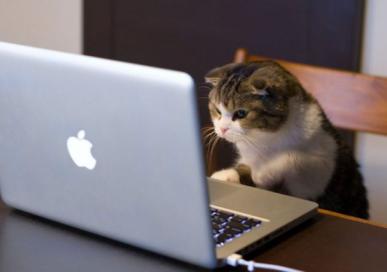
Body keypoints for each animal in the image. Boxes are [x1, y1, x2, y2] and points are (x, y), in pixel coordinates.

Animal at [206, 60, 370, 218]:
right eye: (217, 111)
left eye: (241, 113)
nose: (222, 129)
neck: (264, 140)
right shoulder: (248, 157)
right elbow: (244, 167)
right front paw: (225, 175)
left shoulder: (323, 161)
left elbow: (294, 161)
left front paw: (267, 171)